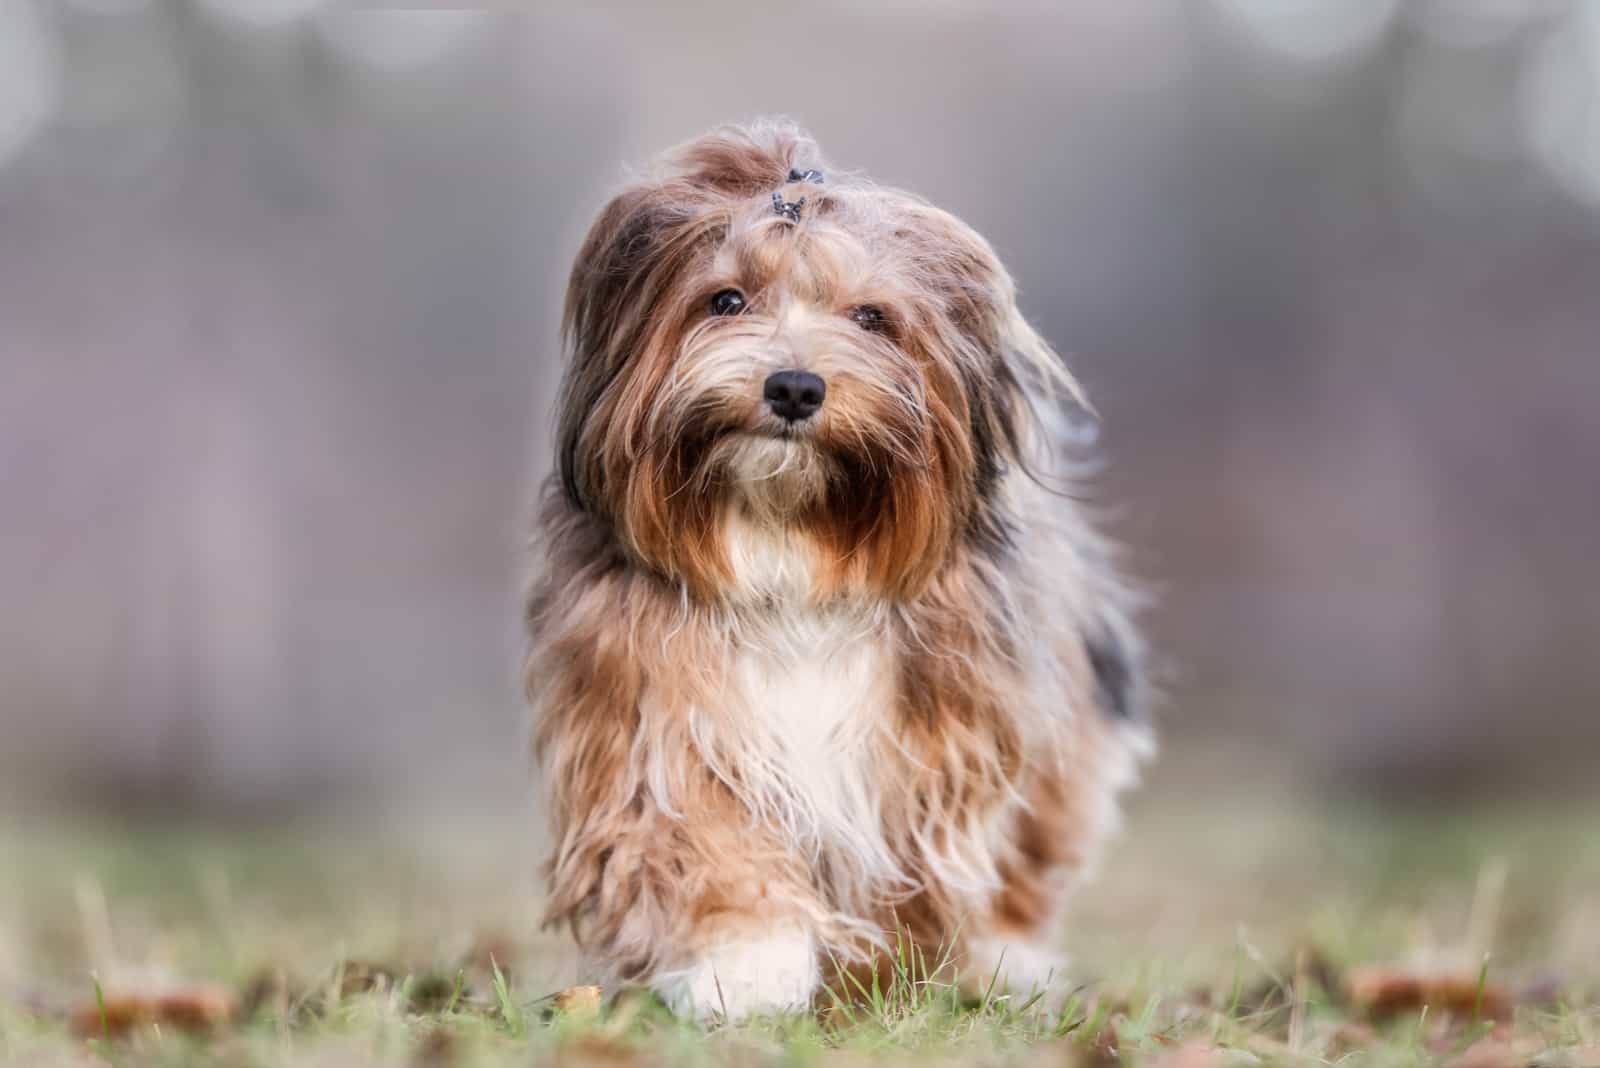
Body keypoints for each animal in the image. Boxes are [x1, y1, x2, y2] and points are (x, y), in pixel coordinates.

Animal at [524, 120, 1152, 1023]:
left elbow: (934, 865)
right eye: (726, 300)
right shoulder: (660, 725)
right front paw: (744, 965)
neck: (792, 551)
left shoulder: (944, 736)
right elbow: (704, 844)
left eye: (872, 317)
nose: (793, 386)